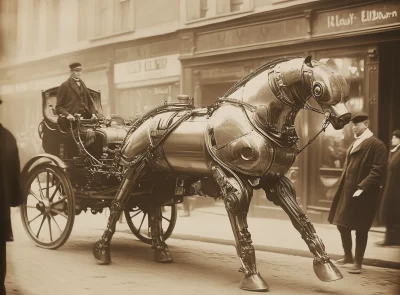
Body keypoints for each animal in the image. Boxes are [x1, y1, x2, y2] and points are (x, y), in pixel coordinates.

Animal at [93, 56, 350, 292]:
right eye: (318, 88)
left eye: (345, 87)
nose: (345, 118)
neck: (256, 118)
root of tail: (140, 122)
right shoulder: (233, 182)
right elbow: (242, 231)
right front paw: (252, 276)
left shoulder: (276, 181)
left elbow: (301, 221)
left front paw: (326, 266)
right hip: (135, 169)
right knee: (118, 205)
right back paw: (102, 250)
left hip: (161, 177)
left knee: (154, 209)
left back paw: (160, 250)